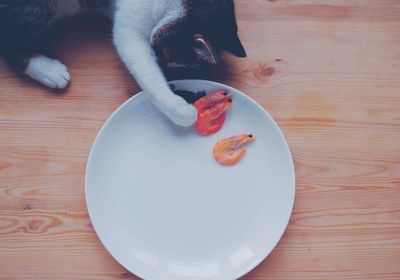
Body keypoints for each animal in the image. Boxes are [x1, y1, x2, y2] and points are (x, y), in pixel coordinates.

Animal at [0, 0, 245, 126]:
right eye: (173, 59)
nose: (166, 65)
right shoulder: (129, 29)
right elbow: (148, 74)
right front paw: (181, 110)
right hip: (36, 6)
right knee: (8, 40)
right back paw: (49, 71)